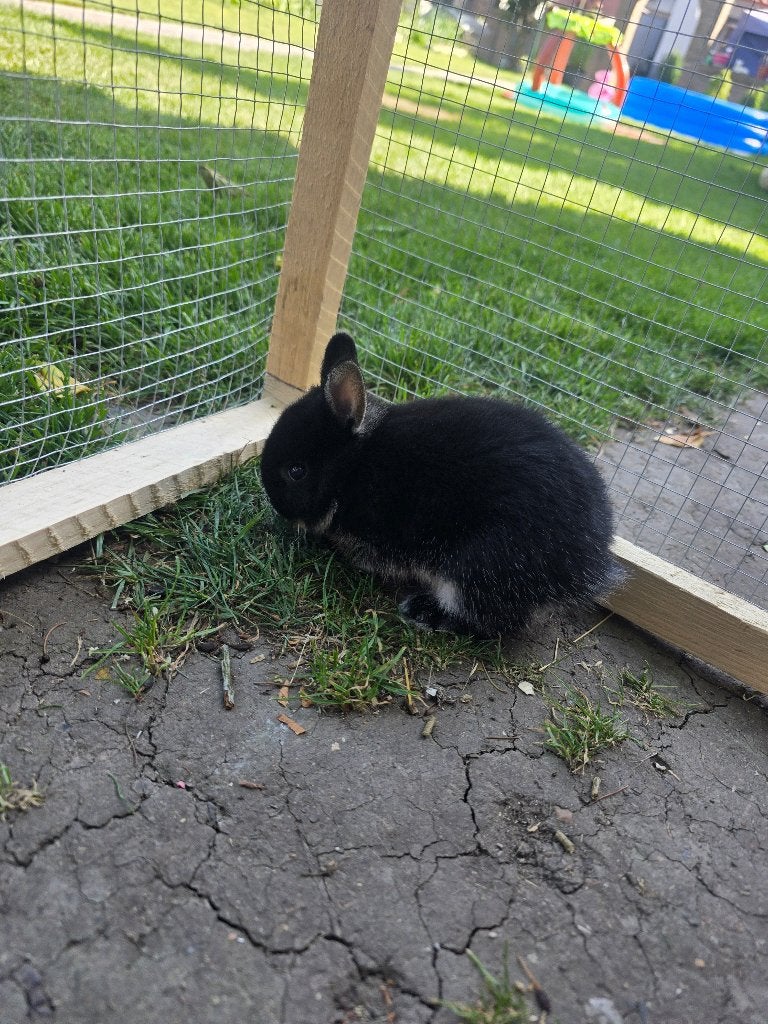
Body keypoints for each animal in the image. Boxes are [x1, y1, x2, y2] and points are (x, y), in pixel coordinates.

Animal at [260, 332, 623, 638]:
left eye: (296, 471)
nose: (274, 504)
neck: (352, 468)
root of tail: (587, 565)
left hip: (479, 565)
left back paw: (422, 611)